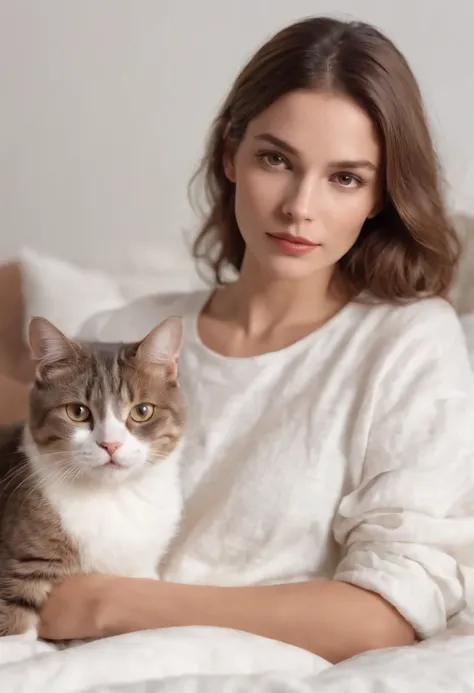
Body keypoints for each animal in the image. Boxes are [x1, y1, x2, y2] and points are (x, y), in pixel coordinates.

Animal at [0, 314, 185, 636]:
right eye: (77, 412)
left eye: (142, 411)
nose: (110, 444)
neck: (113, 497)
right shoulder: (17, 565)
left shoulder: (141, 565)